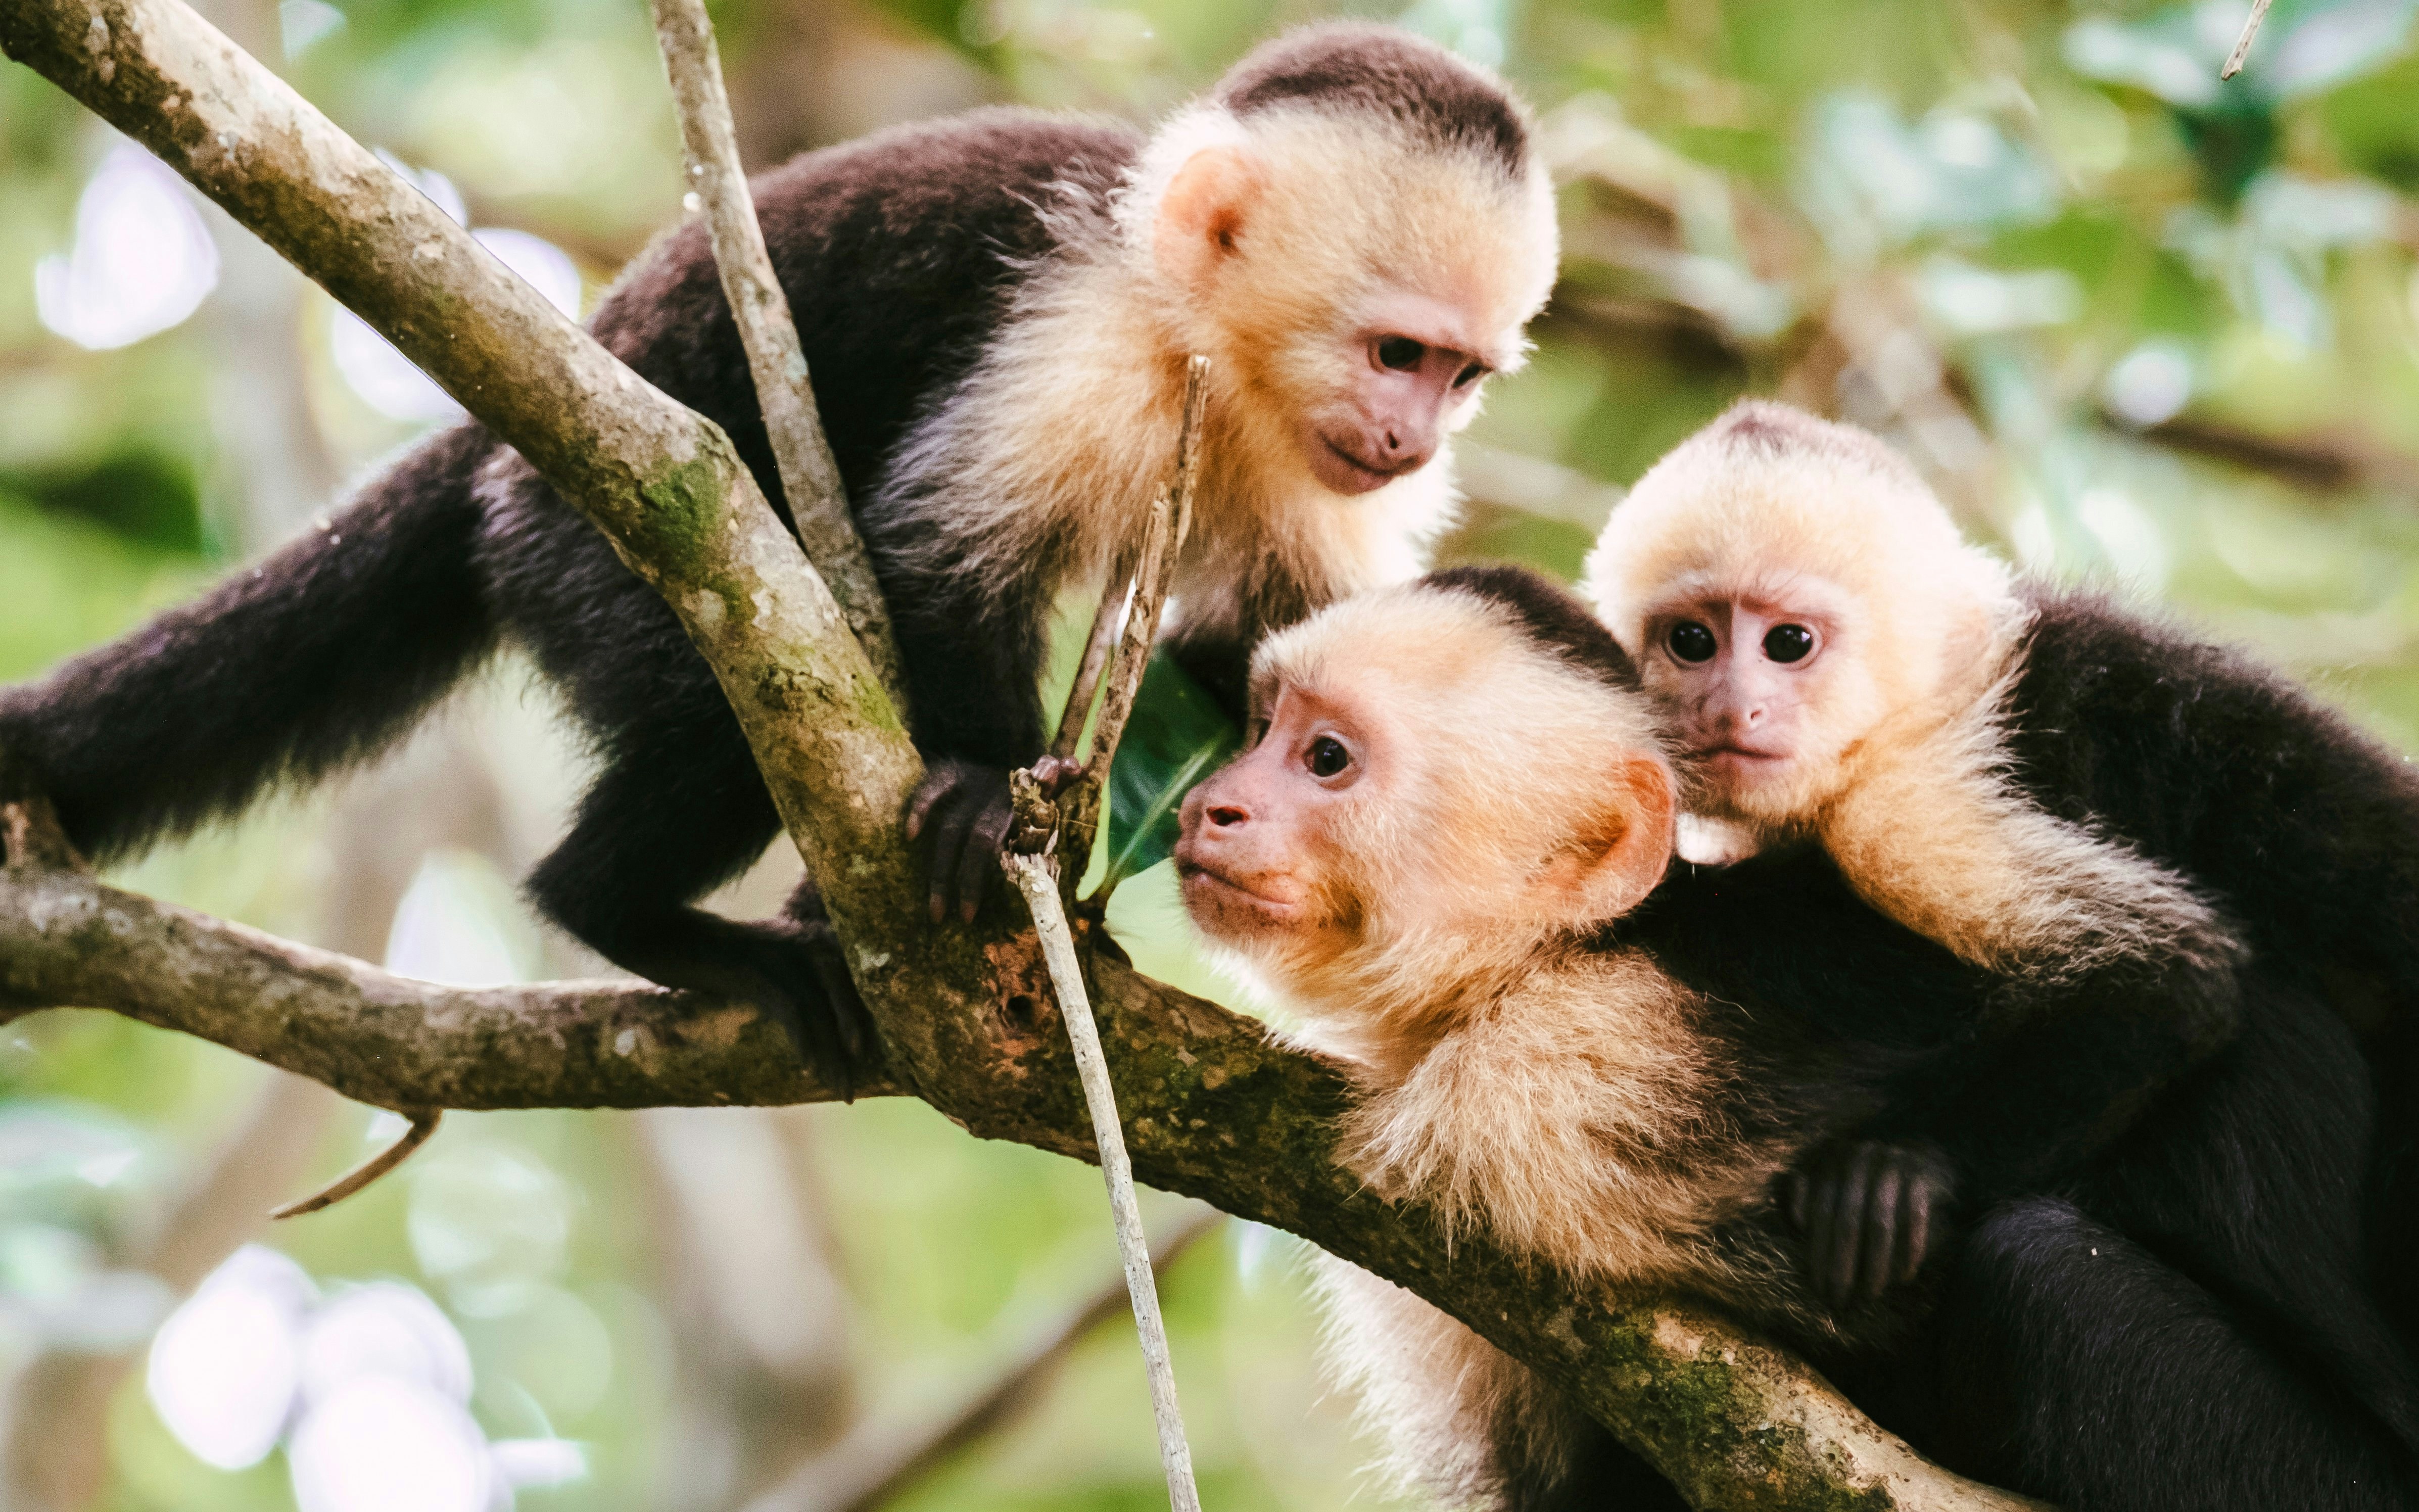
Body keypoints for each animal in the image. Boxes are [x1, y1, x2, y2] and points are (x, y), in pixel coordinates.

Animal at [0, 25, 1559, 1088]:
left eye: (1464, 376)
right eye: (1396, 353)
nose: (1412, 433)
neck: (1214, 357)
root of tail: (500, 445)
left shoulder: (1316, 477)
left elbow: (1277, 662)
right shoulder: (1080, 331)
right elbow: (941, 555)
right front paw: (986, 797)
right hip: (579, 543)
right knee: (714, 719)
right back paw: (630, 909)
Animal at [1176, 564, 2419, 1512]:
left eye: (1325, 759)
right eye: (1260, 729)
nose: (1208, 805)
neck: (1548, 961)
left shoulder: (1566, 1087)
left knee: (2044, 1274)